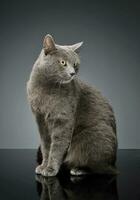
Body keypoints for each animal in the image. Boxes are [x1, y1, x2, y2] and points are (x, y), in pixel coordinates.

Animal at [26, 34, 117, 177]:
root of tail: (113, 162)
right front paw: (43, 166)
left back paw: (79, 169)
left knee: (101, 168)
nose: (72, 73)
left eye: (75, 64)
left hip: (91, 137)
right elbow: (46, 146)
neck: (46, 87)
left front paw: (50, 169)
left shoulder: (63, 118)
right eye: (63, 62)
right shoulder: (40, 119)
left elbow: (57, 146)